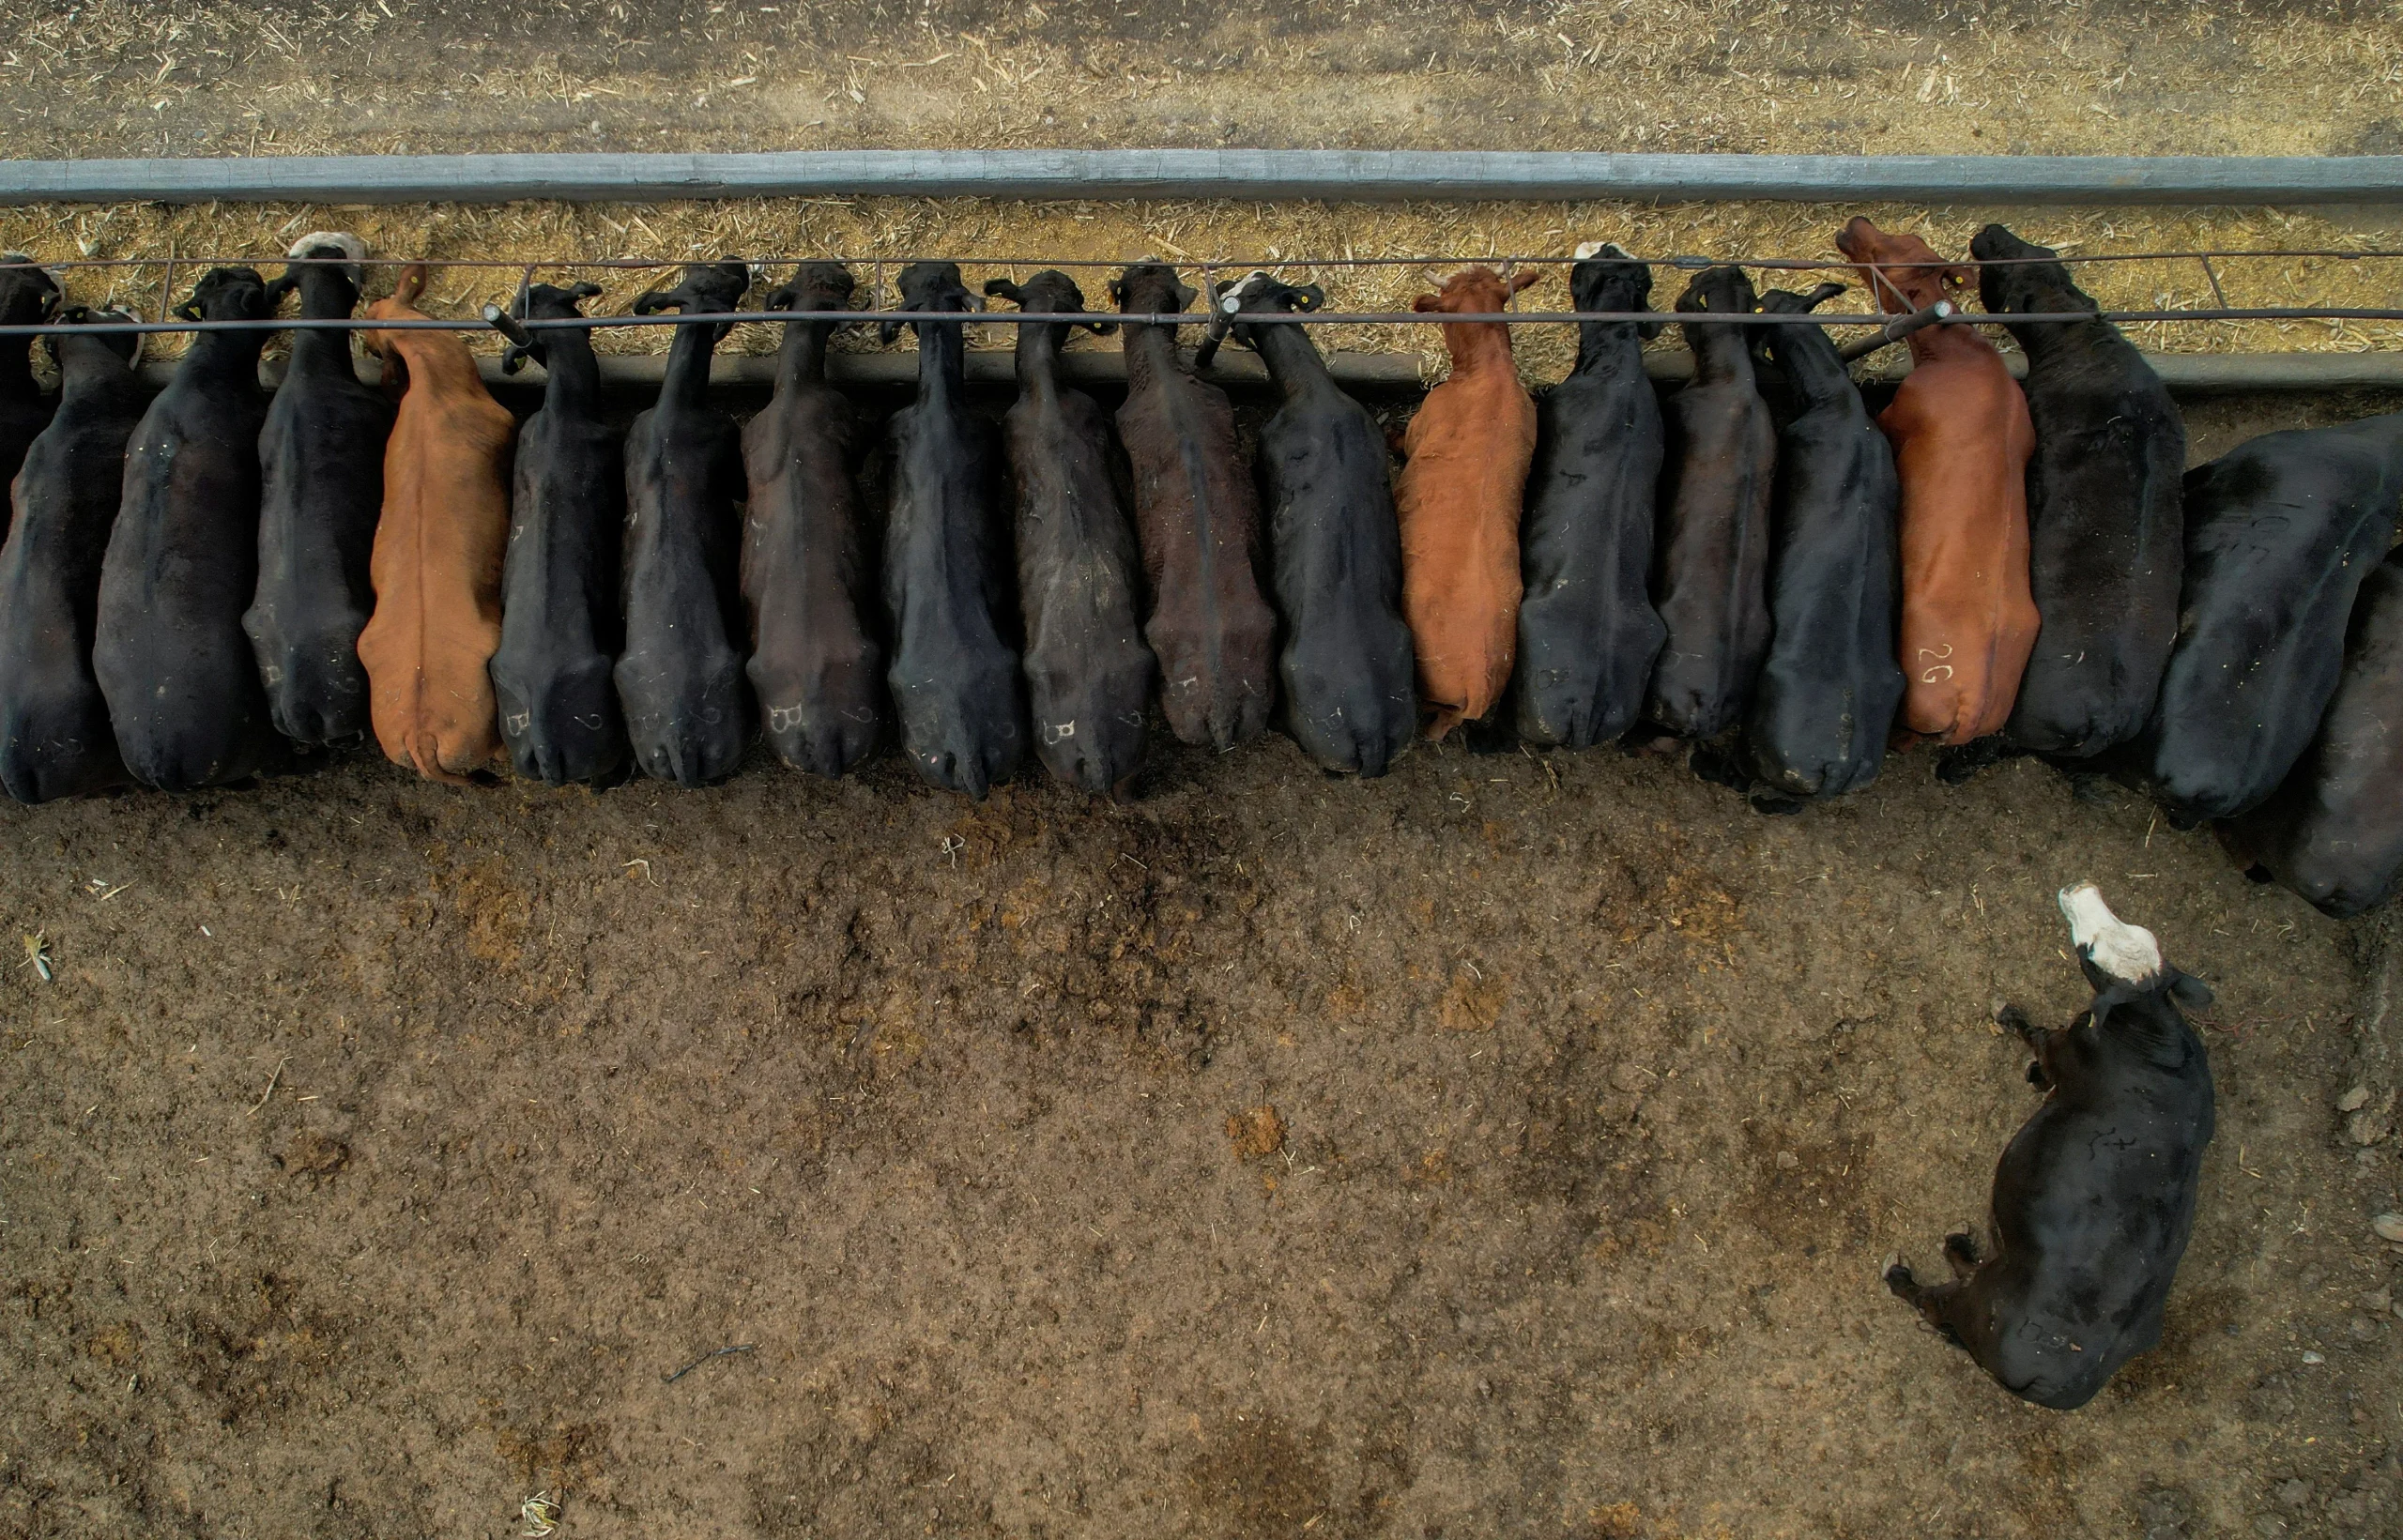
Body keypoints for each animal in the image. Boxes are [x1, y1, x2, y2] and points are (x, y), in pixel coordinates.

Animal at [616, 261, 753, 788]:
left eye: (699, 275)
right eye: (724, 289)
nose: (738, 264)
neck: (674, 404)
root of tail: (677, 737)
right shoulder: (728, 445)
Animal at [1836, 218, 2038, 750]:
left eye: (1881, 258)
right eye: (1905, 238)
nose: (1854, 224)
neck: (1957, 353)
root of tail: (1973, 706)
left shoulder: (1898, 416)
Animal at [1886, 883, 2215, 1412]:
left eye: (2090, 953)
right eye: (2137, 929)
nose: (2082, 889)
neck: (2151, 1037)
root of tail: (2053, 1379)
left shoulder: (2062, 1046)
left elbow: (2034, 1034)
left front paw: (2009, 1019)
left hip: (1974, 1303)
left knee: (1934, 1303)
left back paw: (1902, 1274)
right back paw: (1960, 1243)